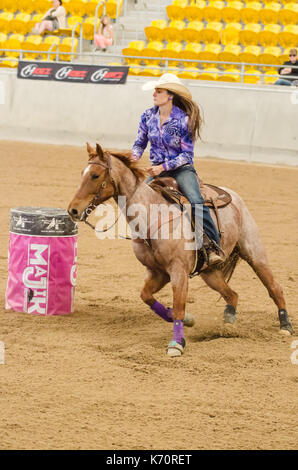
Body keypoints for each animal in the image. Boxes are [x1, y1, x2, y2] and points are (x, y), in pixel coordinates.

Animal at [67, 143, 294, 356]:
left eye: (95, 175)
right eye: (82, 174)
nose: (73, 210)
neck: (152, 218)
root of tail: (233, 195)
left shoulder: (178, 271)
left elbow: (178, 308)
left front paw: (176, 344)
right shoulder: (157, 272)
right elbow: (147, 296)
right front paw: (189, 319)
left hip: (254, 253)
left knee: (274, 287)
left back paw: (285, 325)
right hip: (210, 273)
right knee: (232, 295)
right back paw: (228, 324)